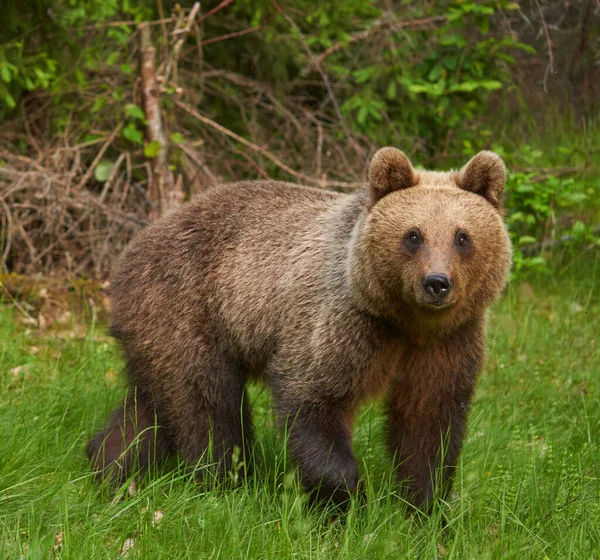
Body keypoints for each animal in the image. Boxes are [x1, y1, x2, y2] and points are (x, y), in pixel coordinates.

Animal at [85, 148, 510, 508]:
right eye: (413, 234)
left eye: (462, 236)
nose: (437, 283)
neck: (405, 321)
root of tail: (131, 252)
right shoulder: (341, 323)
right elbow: (313, 399)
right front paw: (348, 502)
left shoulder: (448, 341)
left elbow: (429, 423)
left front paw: (425, 507)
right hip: (188, 310)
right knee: (208, 405)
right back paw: (224, 483)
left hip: (156, 329)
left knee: (151, 407)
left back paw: (108, 466)